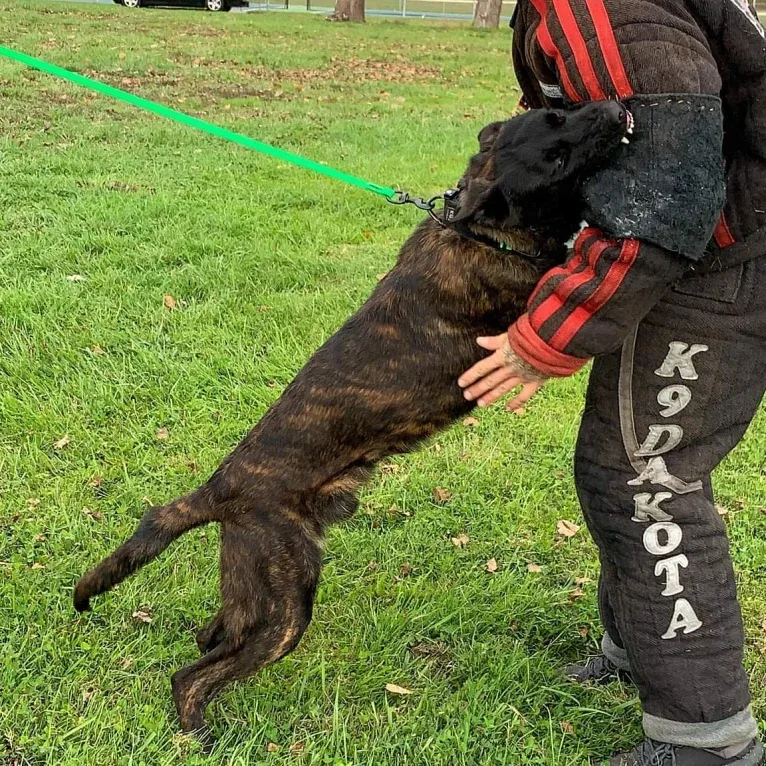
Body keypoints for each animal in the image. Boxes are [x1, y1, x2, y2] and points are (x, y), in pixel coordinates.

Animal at [75, 100, 632, 736]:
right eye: (557, 156)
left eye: (558, 108)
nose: (615, 108)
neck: (482, 232)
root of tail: (219, 489)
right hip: (284, 606)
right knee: (191, 676)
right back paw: (199, 735)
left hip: (254, 595)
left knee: (207, 635)